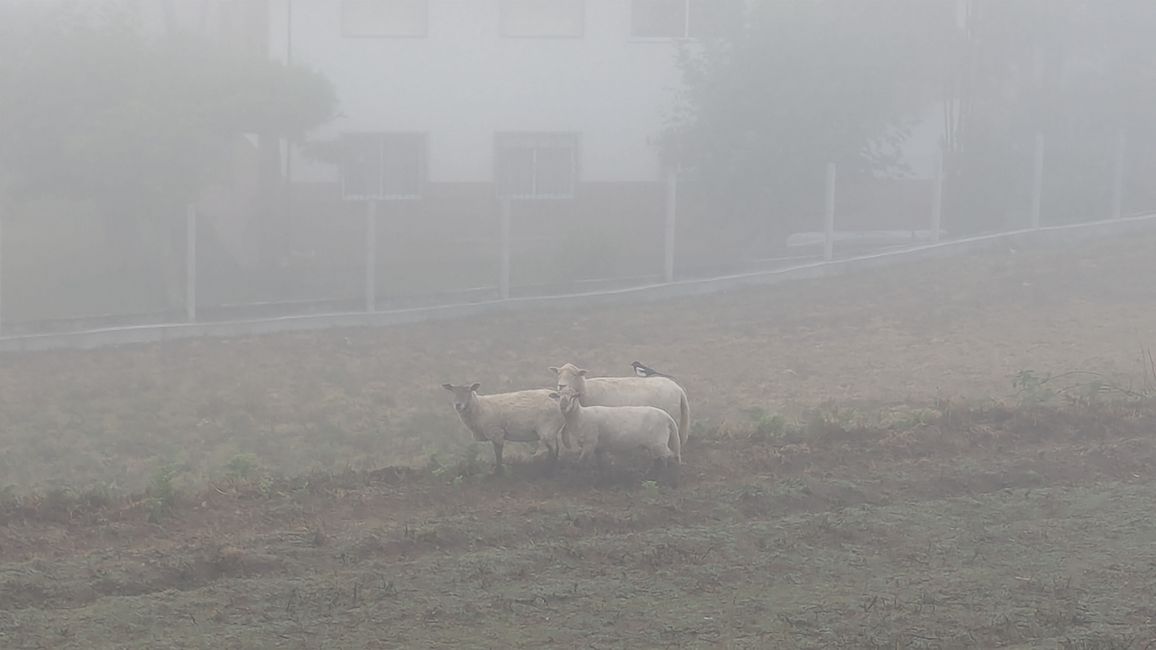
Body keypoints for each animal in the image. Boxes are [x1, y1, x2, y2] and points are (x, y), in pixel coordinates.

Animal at [547, 360, 688, 448]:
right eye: (558, 374)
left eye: (574, 374)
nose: (561, 386)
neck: (586, 390)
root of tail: (679, 389)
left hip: (670, 417)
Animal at [547, 386, 679, 478]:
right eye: (559, 396)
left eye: (574, 396)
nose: (563, 406)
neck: (581, 416)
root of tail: (667, 417)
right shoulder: (598, 447)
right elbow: (600, 464)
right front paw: (603, 476)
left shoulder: (590, 442)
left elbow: (580, 462)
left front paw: (575, 478)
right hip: (653, 444)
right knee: (657, 459)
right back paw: (650, 475)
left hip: (659, 442)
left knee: (667, 457)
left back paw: (665, 477)